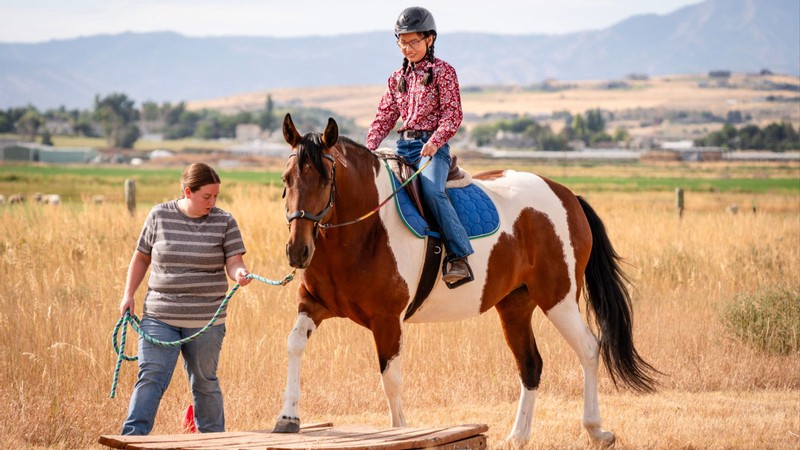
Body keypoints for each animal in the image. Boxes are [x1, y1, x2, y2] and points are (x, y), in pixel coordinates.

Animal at [274, 113, 659, 446]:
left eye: (325, 179)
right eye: (286, 179)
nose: (298, 251)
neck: (364, 229)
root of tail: (566, 195)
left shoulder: (388, 320)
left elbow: (391, 379)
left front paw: (401, 432)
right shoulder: (313, 305)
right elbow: (293, 345)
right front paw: (287, 418)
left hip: (558, 299)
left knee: (590, 349)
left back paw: (596, 430)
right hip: (515, 306)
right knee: (530, 365)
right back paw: (518, 437)